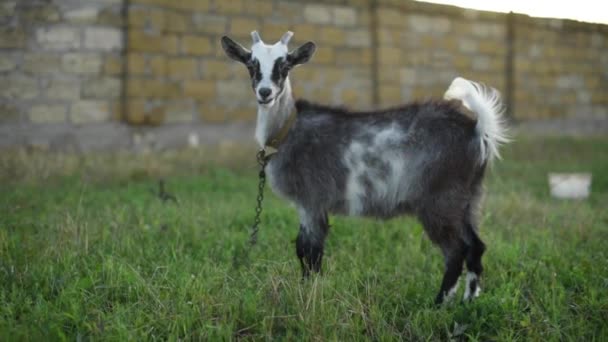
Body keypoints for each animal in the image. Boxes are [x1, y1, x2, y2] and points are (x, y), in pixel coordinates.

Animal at [222, 31, 508, 304]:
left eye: (284, 65)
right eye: (251, 64)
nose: (265, 92)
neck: (287, 129)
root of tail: (476, 129)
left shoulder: (311, 200)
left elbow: (309, 250)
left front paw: (308, 295)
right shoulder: (311, 205)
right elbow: (305, 250)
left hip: (440, 200)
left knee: (456, 251)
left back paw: (439, 303)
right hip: (468, 200)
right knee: (476, 246)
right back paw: (468, 302)